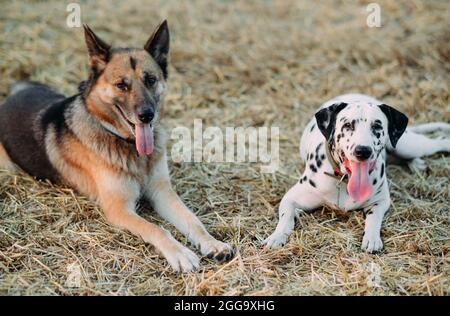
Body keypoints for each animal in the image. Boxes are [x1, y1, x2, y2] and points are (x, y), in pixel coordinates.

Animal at [0, 21, 232, 272]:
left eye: (151, 79)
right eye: (121, 85)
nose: (146, 115)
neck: (125, 142)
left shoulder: (162, 192)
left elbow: (192, 219)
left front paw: (213, 243)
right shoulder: (119, 209)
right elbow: (157, 229)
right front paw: (180, 253)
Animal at [264, 93, 450, 252]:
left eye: (377, 126)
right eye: (347, 125)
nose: (363, 151)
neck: (344, 180)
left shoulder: (380, 201)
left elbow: (374, 218)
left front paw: (372, 238)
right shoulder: (291, 198)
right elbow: (286, 215)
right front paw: (277, 236)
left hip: (408, 145)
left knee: (439, 141)